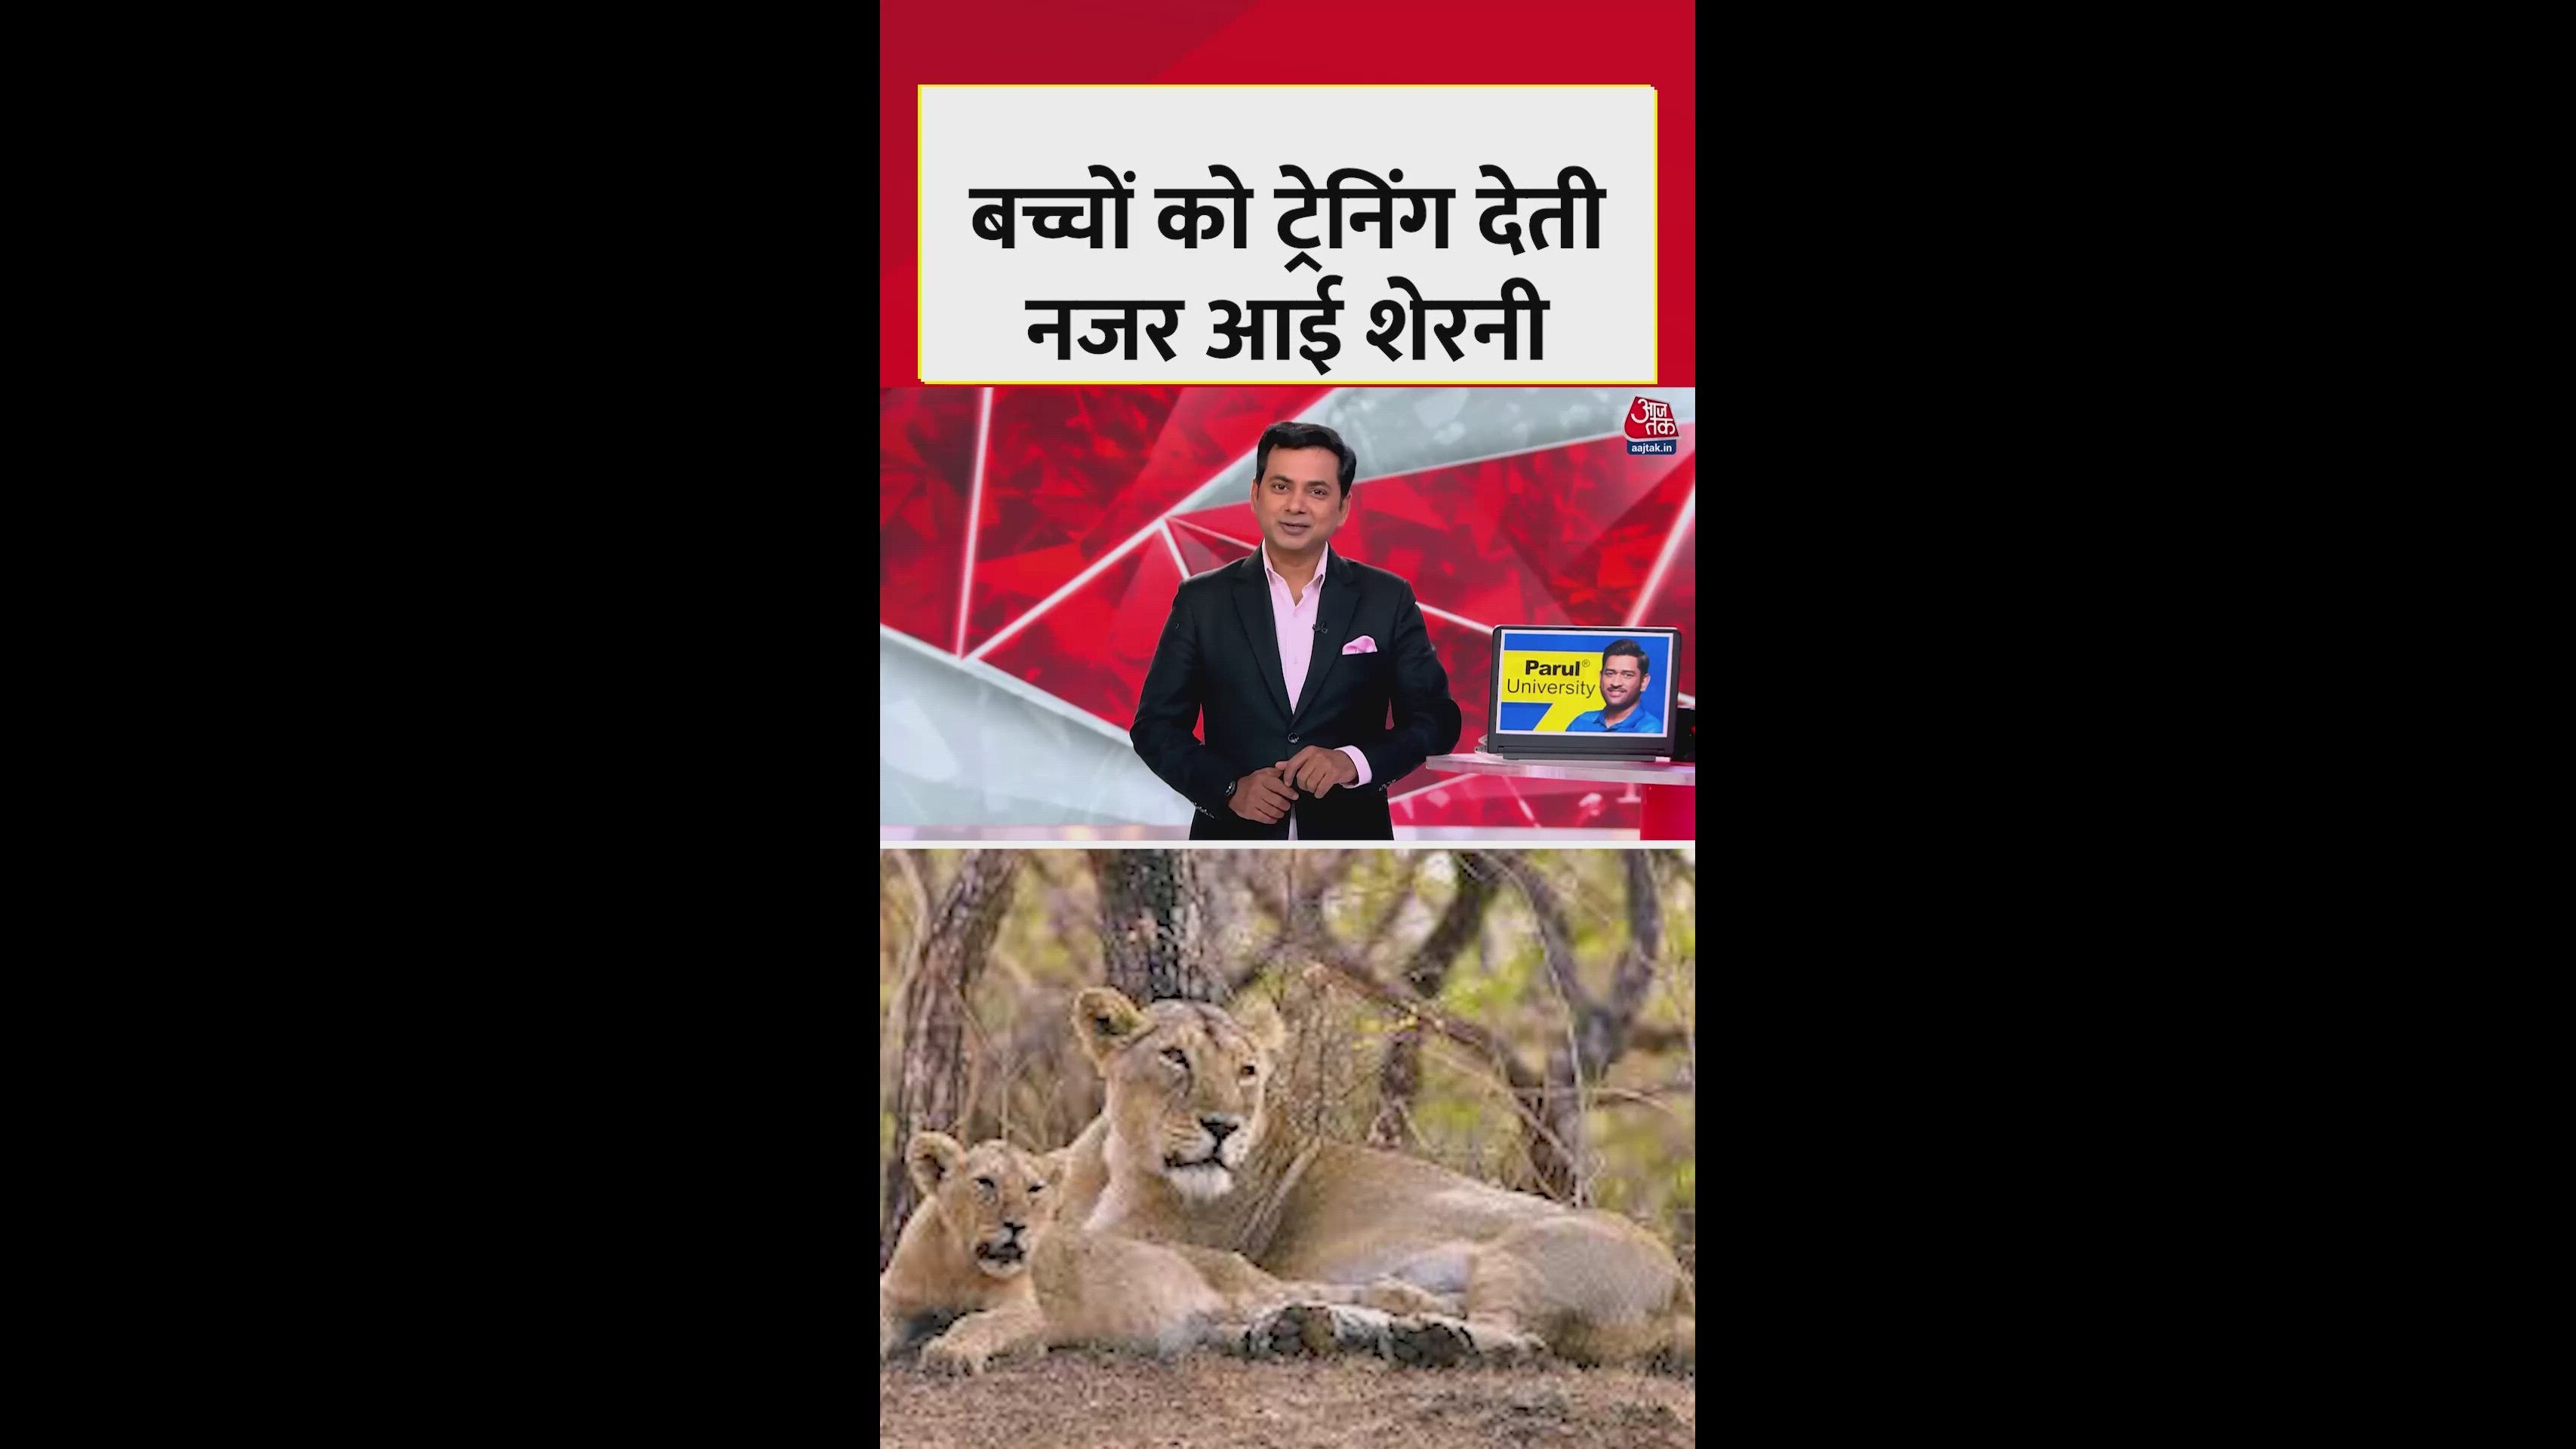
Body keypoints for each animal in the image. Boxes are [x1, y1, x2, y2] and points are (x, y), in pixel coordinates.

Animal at [879, 1130, 1458, 1375]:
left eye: (1035, 1189)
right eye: (985, 1183)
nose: (1017, 1227)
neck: (957, 1260)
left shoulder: (1025, 1312)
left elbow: (977, 1323)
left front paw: (950, 1352)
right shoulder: (894, 1298)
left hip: (1246, 1289)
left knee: (1340, 1293)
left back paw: (1422, 1314)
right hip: (1216, 1323)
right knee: (1253, 1327)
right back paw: (1288, 1333)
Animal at [1056, 988, 1696, 1370]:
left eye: (1246, 1071)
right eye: (1175, 1058)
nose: (1222, 1127)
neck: (1115, 1159)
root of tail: (1680, 1289)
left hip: (1531, 1251)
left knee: (1523, 1339)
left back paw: (1434, 1339)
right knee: (1410, 1303)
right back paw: (1361, 1321)